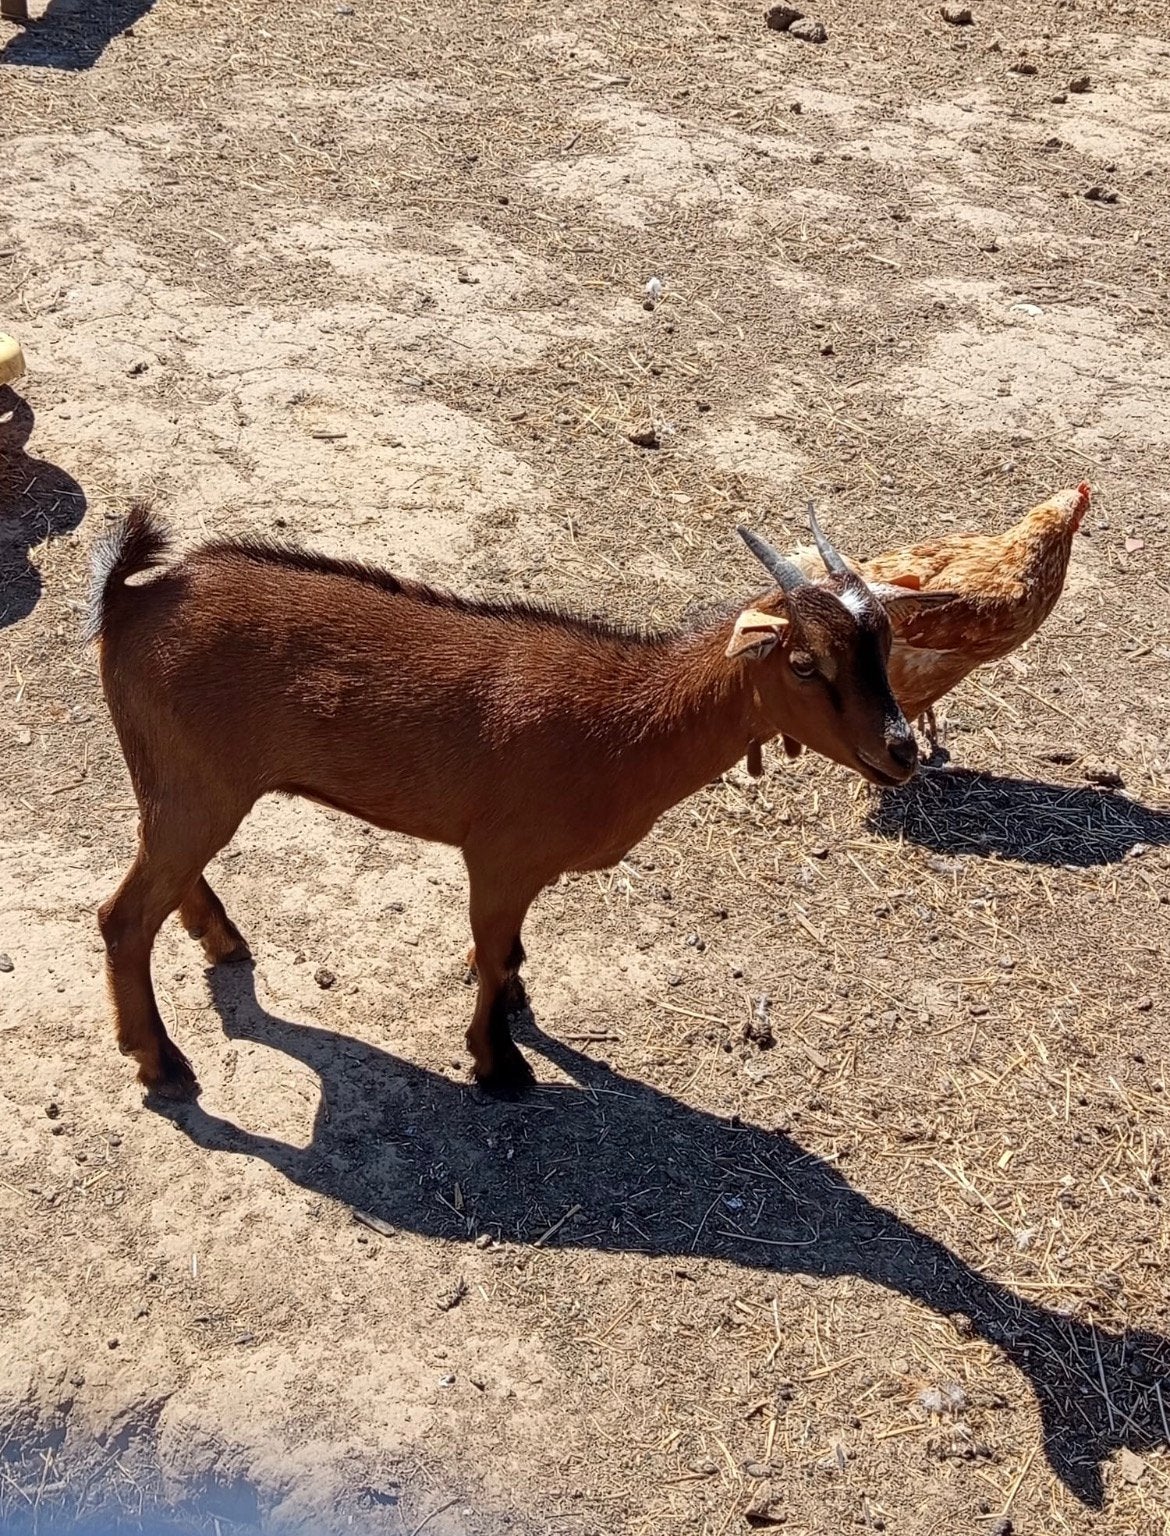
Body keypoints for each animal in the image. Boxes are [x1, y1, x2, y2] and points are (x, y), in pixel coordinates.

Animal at [89, 504, 951, 1100]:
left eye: (883, 642)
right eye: (805, 664)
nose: (900, 753)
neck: (629, 722)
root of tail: (130, 598)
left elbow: (510, 954)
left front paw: (512, 1008)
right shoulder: (500, 855)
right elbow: (497, 950)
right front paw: (498, 1064)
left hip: (180, 782)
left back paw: (220, 940)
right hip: (197, 786)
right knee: (123, 917)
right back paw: (160, 1063)